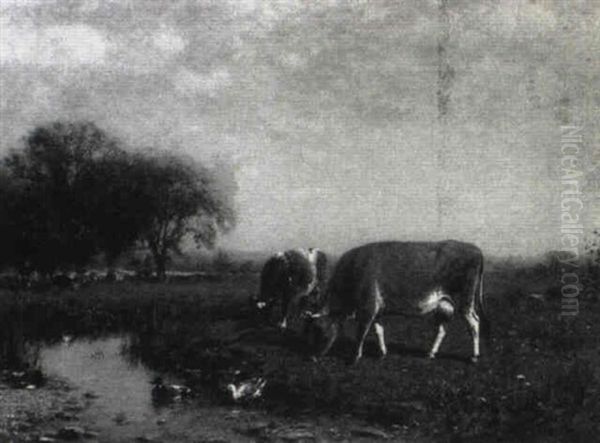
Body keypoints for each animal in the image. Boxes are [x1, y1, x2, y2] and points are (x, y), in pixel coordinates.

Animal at [304, 243, 488, 364]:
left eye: (320, 330)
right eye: (309, 332)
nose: (312, 357)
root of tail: (476, 249)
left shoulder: (368, 307)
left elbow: (361, 333)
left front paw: (355, 357)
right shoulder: (377, 310)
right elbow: (379, 331)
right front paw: (382, 353)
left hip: (465, 301)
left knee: (474, 323)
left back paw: (474, 356)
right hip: (444, 304)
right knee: (442, 330)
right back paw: (430, 353)